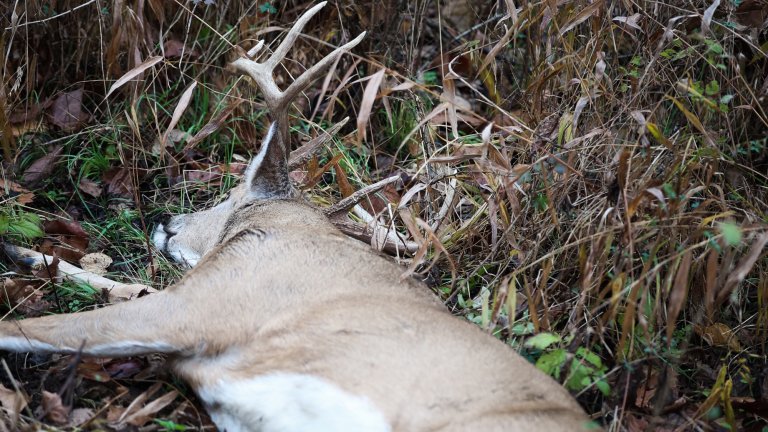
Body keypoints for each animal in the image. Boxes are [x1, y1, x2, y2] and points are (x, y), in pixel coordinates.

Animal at [0, 3, 598, 431]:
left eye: (230, 194)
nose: (165, 221)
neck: (285, 222)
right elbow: (112, 284)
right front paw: (23, 251)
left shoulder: (218, 301)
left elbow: (39, 326)